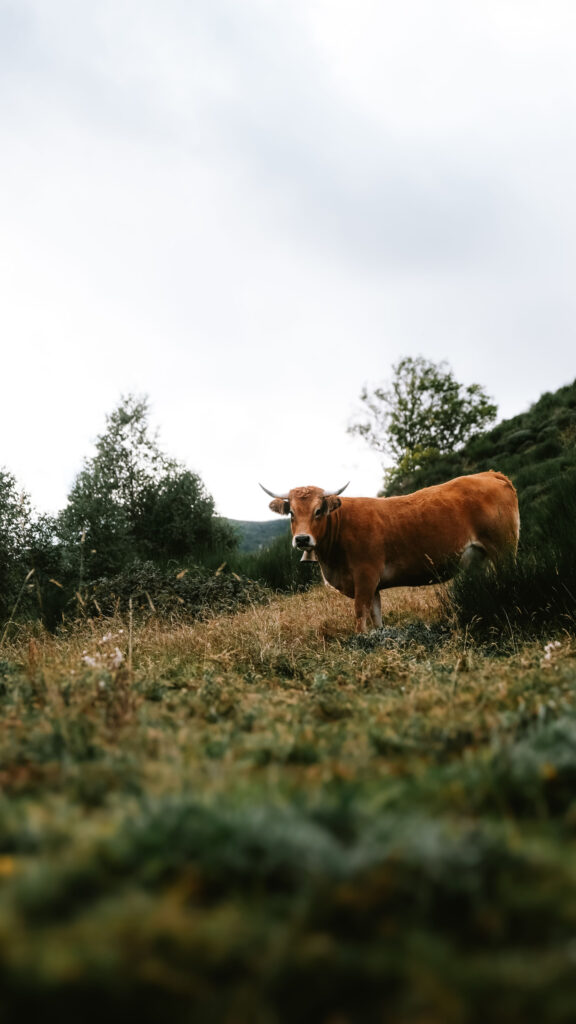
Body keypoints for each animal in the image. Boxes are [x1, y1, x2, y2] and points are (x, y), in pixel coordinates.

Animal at [260, 472, 519, 633]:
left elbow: (360, 614)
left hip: (504, 549)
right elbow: (376, 617)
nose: (302, 539)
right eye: (291, 513)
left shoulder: (366, 575)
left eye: (318, 511)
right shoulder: (372, 585)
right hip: (481, 559)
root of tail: (489, 474)